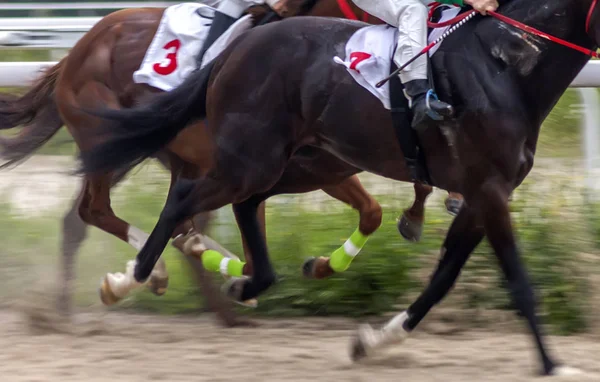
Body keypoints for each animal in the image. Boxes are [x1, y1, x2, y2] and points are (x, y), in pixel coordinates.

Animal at [0, 0, 460, 320]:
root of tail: (76, 51)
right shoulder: (265, 169)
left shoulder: (324, 168)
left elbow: (373, 210)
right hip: (111, 142)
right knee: (96, 209)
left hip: (142, 151)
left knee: (91, 218)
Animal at [79, 0, 600, 376]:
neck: (505, 65)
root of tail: (235, 46)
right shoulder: (489, 189)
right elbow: (518, 280)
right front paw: (553, 365)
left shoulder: (481, 194)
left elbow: (442, 278)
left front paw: (373, 340)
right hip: (253, 159)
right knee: (183, 201)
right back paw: (131, 279)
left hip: (289, 162)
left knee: (240, 205)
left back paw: (244, 279)